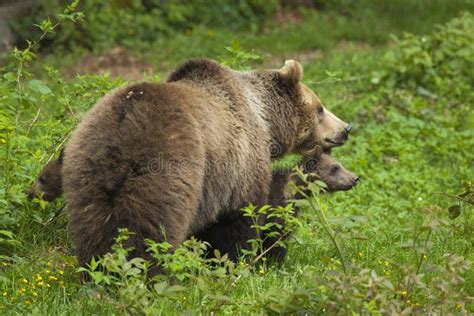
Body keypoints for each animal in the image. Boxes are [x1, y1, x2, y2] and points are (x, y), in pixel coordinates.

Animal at [60, 58, 352, 270]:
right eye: (320, 108)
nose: (346, 128)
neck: (265, 119)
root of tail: (124, 123)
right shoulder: (237, 165)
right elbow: (237, 221)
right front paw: (235, 263)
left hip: (85, 168)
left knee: (93, 224)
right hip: (166, 167)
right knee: (151, 229)